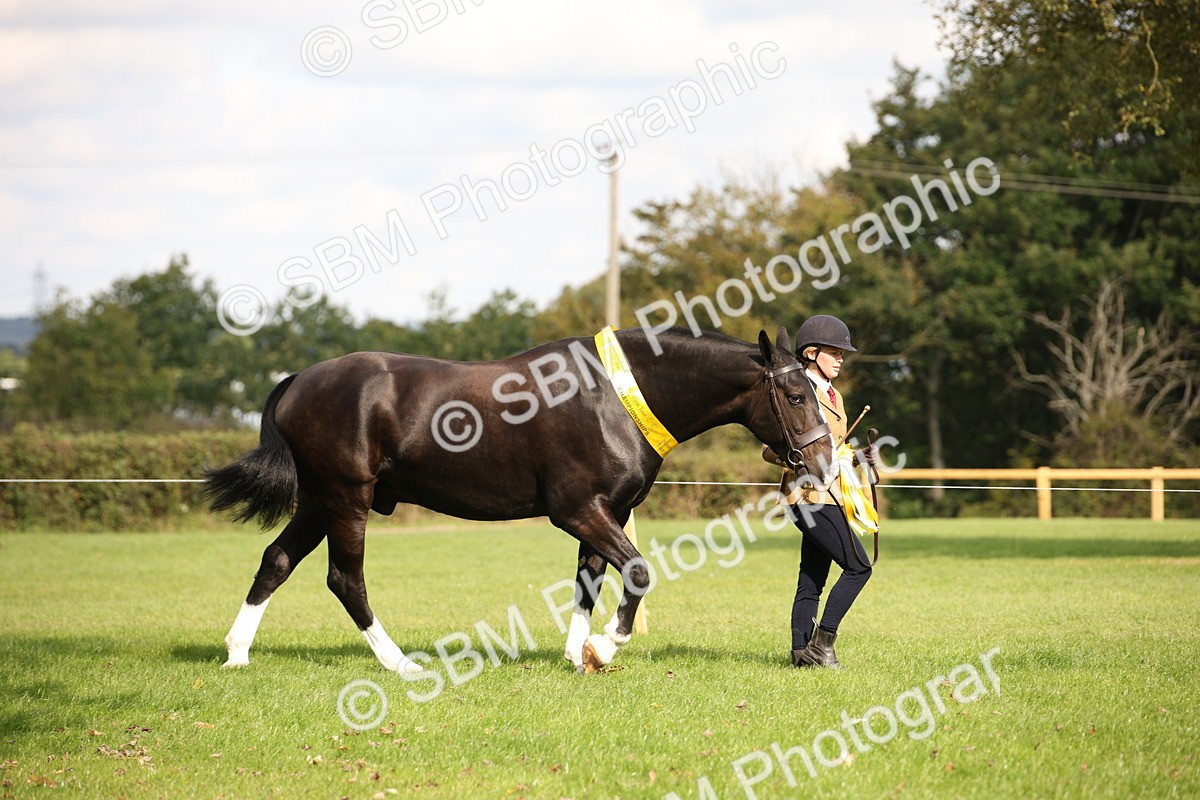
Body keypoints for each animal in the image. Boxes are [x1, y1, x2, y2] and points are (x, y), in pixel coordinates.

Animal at [205, 325, 834, 674]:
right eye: (795, 394)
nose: (825, 464)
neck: (613, 398)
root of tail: (299, 381)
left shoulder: (607, 511)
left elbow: (589, 582)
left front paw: (578, 655)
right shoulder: (578, 511)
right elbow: (637, 571)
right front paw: (606, 647)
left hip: (317, 501)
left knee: (276, 561)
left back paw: (237, 652)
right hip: (345, 500)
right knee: (345, 578)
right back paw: (398, 662)